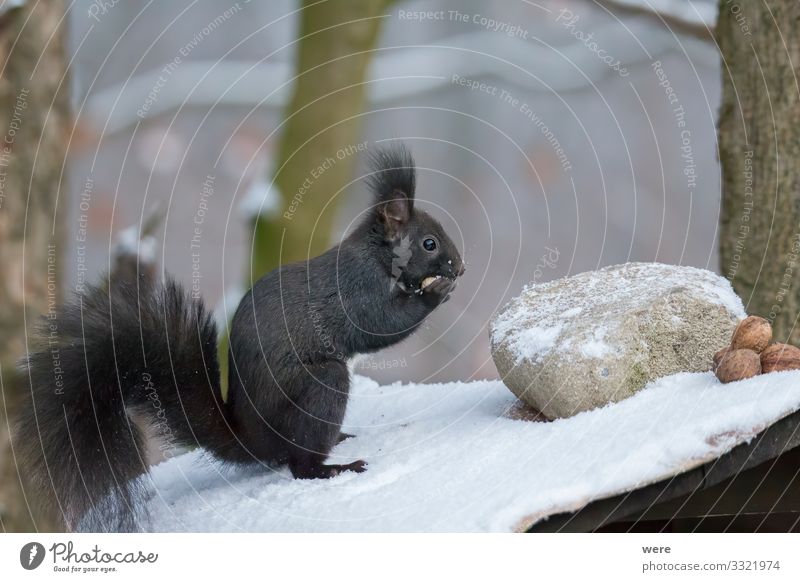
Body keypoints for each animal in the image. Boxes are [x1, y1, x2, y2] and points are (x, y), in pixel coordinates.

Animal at [17, 144, 462, 532]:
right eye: (429, 243)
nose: (459, 266)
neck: (379, 256)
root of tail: (252, 441)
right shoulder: (357, 290)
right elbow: (382, 322)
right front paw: (436, 292)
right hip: (322, 385)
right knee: (299, 466)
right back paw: (334, 466)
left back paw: (338, 439)